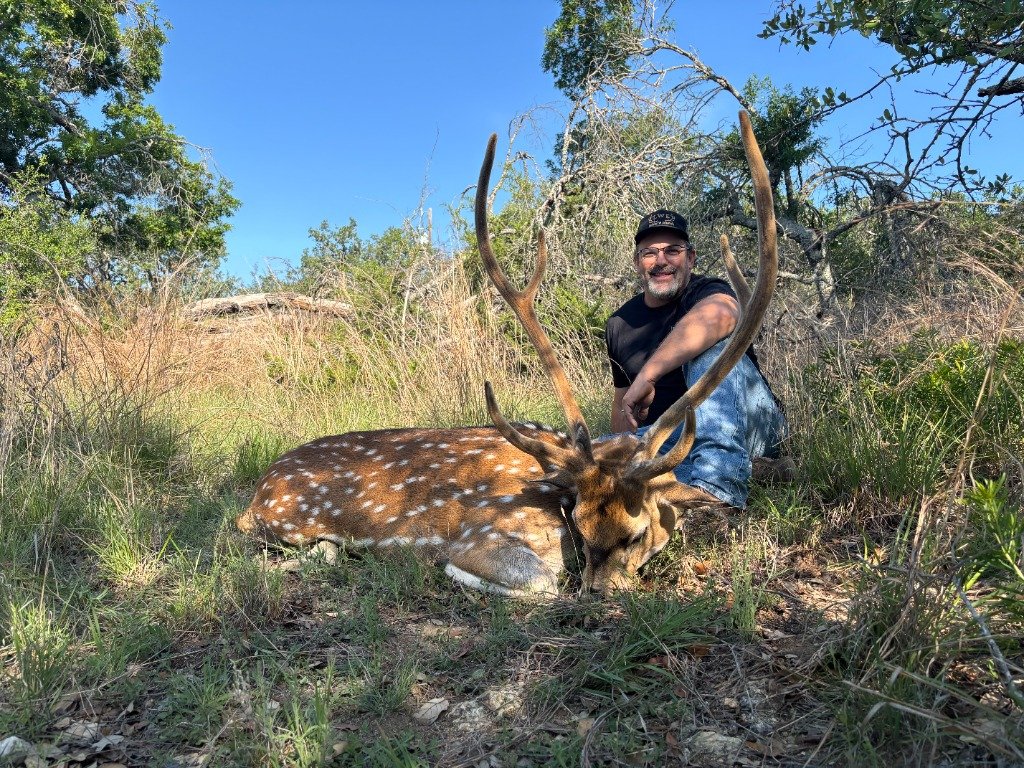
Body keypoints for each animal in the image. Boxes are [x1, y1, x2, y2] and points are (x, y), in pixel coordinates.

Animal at [237, 111, 777, 597]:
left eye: (637, 532)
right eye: (579, 525)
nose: (600, 593)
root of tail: (257, 493)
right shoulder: (481, 533)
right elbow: (541, 582)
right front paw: (450, 570)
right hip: (288, 520)